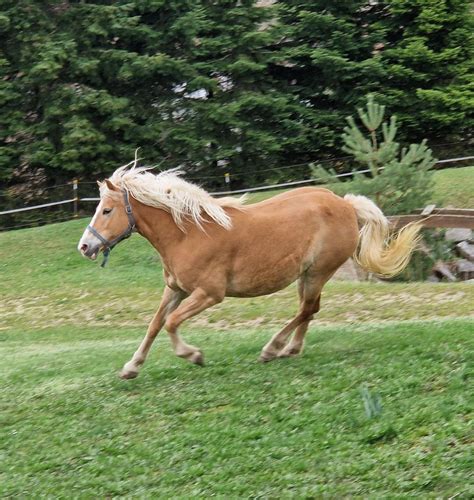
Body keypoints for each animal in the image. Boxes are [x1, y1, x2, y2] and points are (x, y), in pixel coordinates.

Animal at [78, 162, 422, 376]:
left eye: (106, 210)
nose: (84, 246)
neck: (187, 233)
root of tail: (346, 204)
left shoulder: (209, 294)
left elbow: (171, 323)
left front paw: (193, 355)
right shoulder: (175, 289)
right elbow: (154, 325)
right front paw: (131, 367)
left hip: (317, 272)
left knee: (307, 309)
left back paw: (273, 348)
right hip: (307, 275)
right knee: (310, 310)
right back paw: (291, 349)